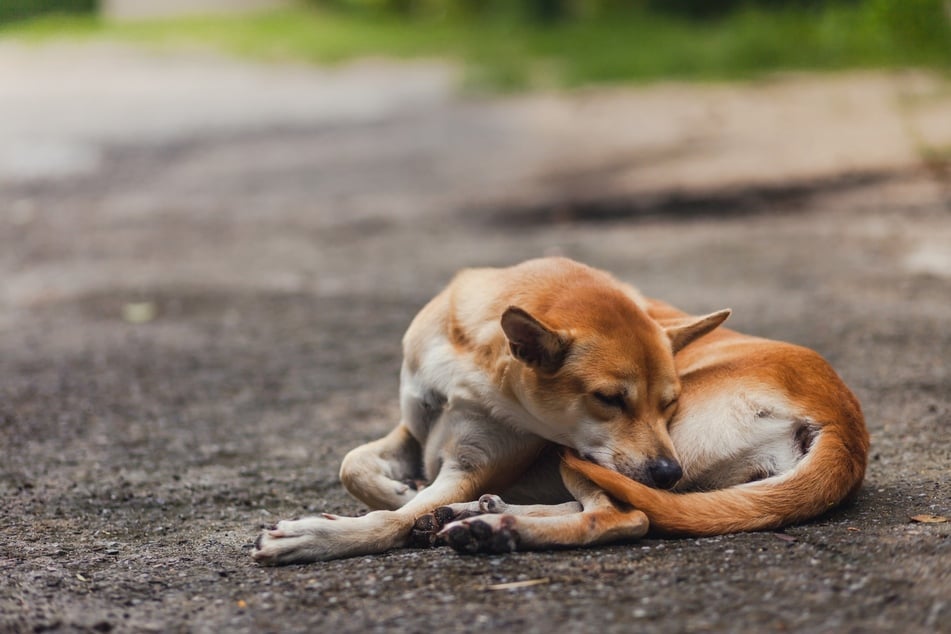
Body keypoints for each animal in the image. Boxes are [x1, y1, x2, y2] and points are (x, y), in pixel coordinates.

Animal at [255, 256, 872, 564]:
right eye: (609, 398)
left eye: (669, 402)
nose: (667, 471)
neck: (473, 360)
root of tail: (847, 427)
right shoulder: (414, 424)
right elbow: (353, 465)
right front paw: (399, 492)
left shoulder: (476, 462)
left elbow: (390, 520)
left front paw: (318, 537)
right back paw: (484, 517)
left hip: (588, 459)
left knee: (628, 516)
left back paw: (496, 527)